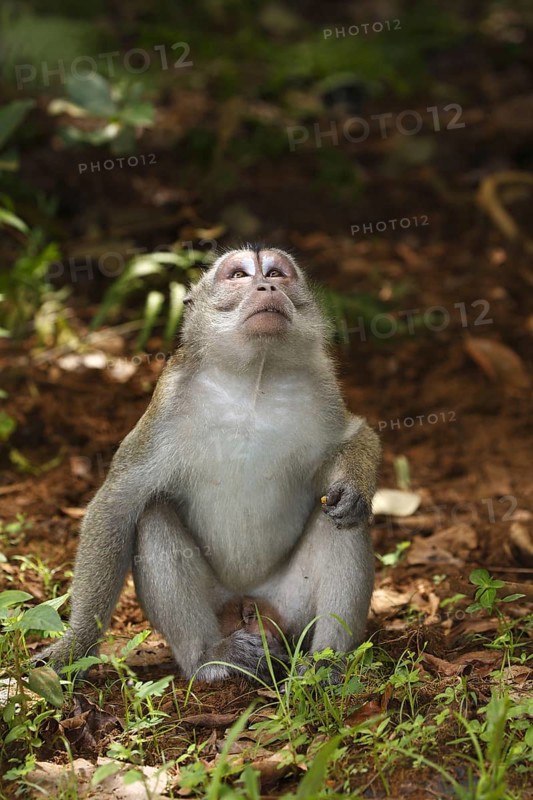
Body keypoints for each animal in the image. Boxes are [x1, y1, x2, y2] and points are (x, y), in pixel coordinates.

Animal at [35, 245, 381, 683]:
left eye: (276, 273)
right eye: (239, 275)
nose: (266, 286)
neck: (254, 380)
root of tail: (250, 600)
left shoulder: (324, 390)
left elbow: (355, 436)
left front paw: (354, 486)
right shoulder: (167, 406)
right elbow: (116, 505)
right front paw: (75, 645)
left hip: (292, 607)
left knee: (341, 524)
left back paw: (325, 664)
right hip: (219, 606)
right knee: (153, 515)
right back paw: (211, 658)